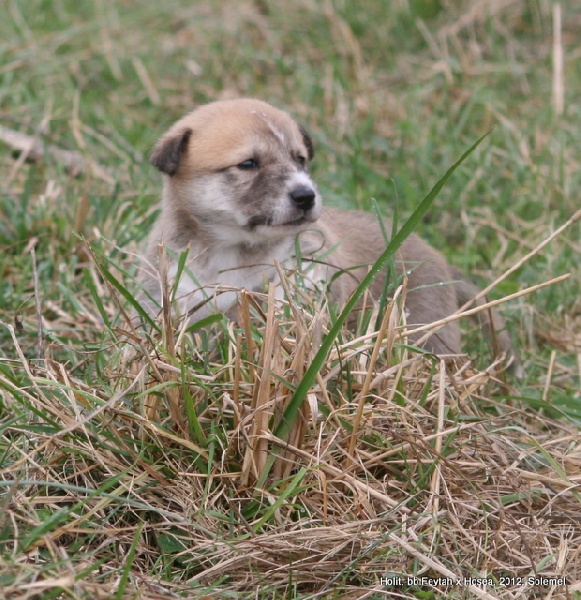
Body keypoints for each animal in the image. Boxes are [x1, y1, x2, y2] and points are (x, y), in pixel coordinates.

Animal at [137, 98, 516, 360]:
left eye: (300, 159)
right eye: (248, 164)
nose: (306, 196)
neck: (235, 252)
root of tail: (439, 260)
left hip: (428, 331)